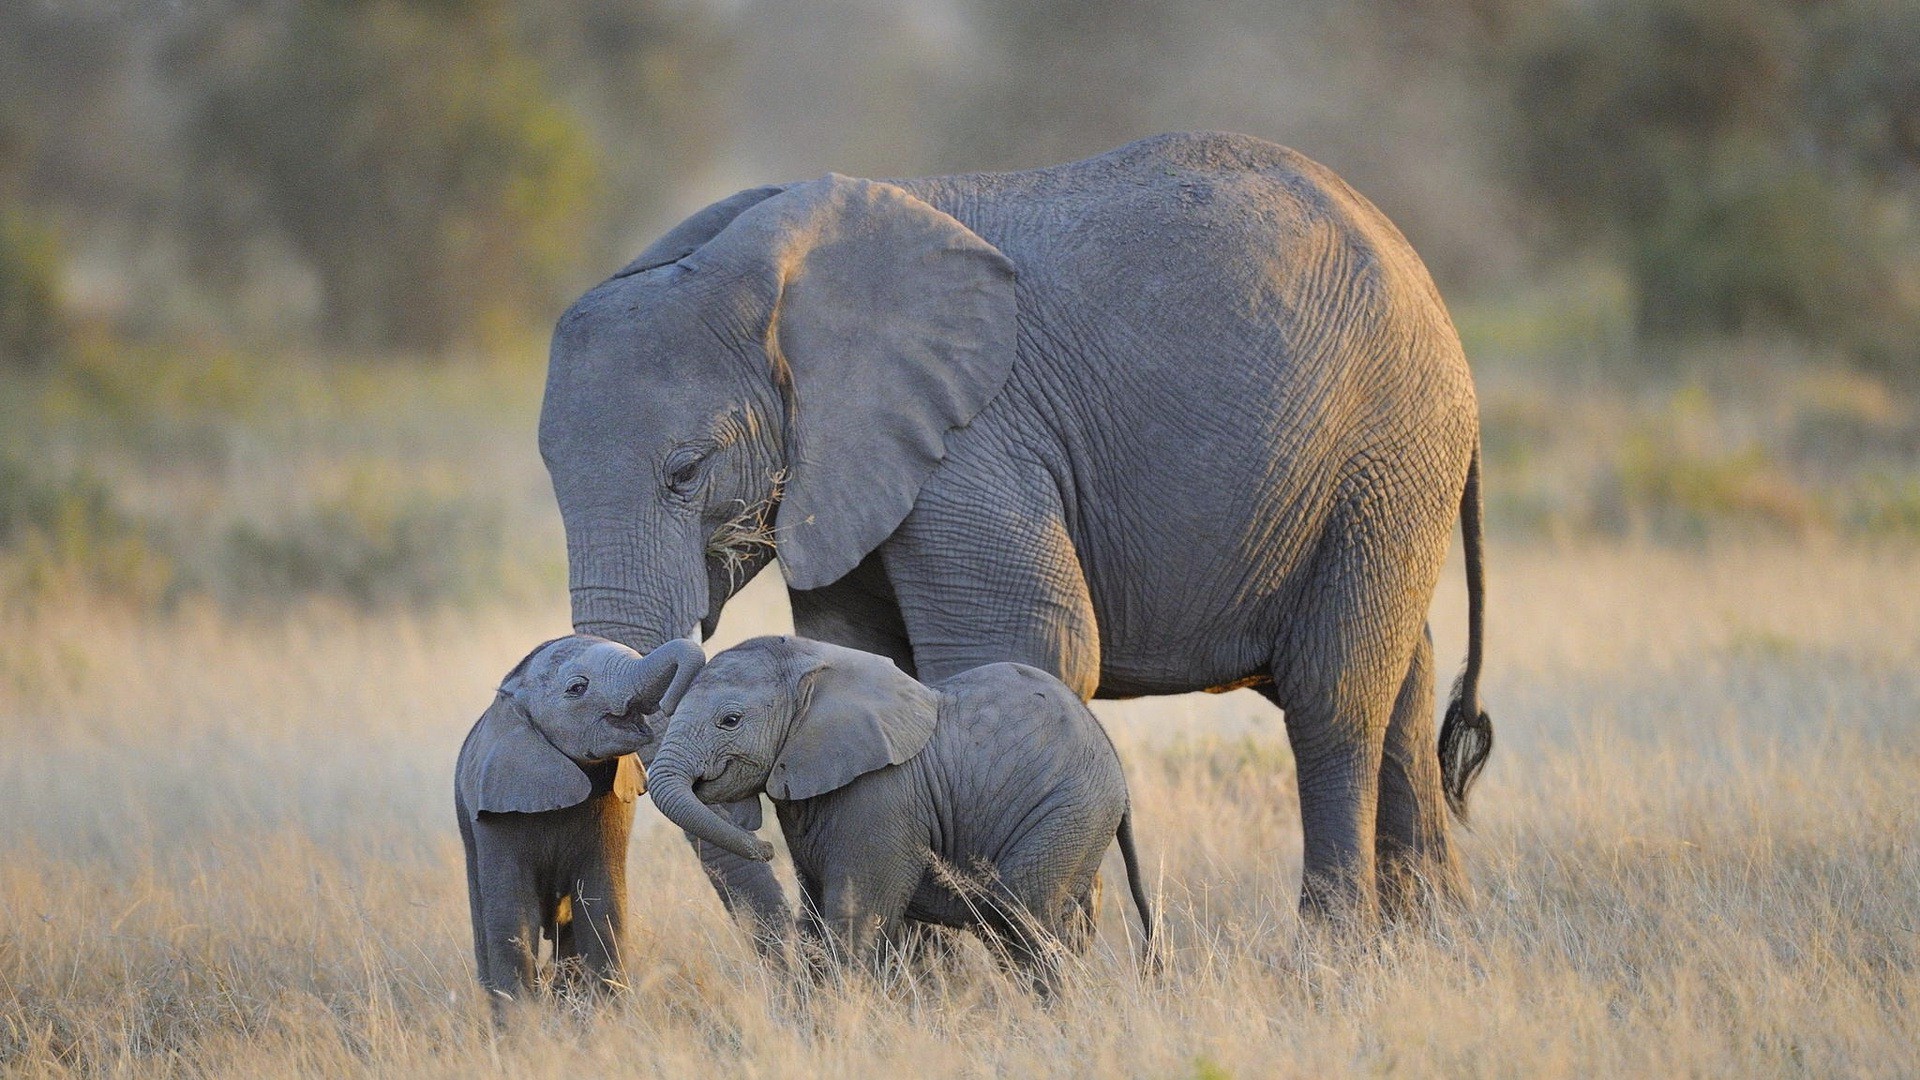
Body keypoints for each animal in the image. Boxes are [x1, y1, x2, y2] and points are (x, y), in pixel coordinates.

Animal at [456, 626, 706, 1014]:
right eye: (577, 688)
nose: (666, 705)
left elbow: (601, 904)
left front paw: (607, 1016)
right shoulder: (495, 809)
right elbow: (513, 916)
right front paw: (522, 1023)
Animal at [549, 130, 1489, 922]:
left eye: (685, 473)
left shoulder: (974, 442)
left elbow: (1029, 644)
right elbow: (862, 657)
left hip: (1385, 451)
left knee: (1335, 698)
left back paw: (1331, 954)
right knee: (1402, 684)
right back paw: (1429, 944)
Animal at [645, 630, 1152, 983]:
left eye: (730, 721)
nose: (764, 848)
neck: (816, 664)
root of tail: (1115, 765)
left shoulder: (882, 797)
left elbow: (855, 919)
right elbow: (814, 914)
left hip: (1068, 810)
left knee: (1022, 917)